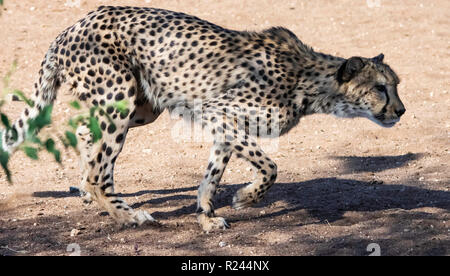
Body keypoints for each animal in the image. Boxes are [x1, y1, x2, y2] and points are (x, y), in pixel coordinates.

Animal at [1, 5, 406, 231]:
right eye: (380, 88)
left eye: (396, 85)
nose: (400, 111)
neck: (309, 79)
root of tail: (72, 26)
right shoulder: (218, 112)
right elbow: (271, 167)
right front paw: (244, 198)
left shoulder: (225, 126)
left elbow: (212, 176)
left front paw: (206, 217)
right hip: (120, 99)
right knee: (99, 171)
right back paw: (129, 217)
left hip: (142, 108)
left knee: (88, 136)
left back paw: (89, 195)